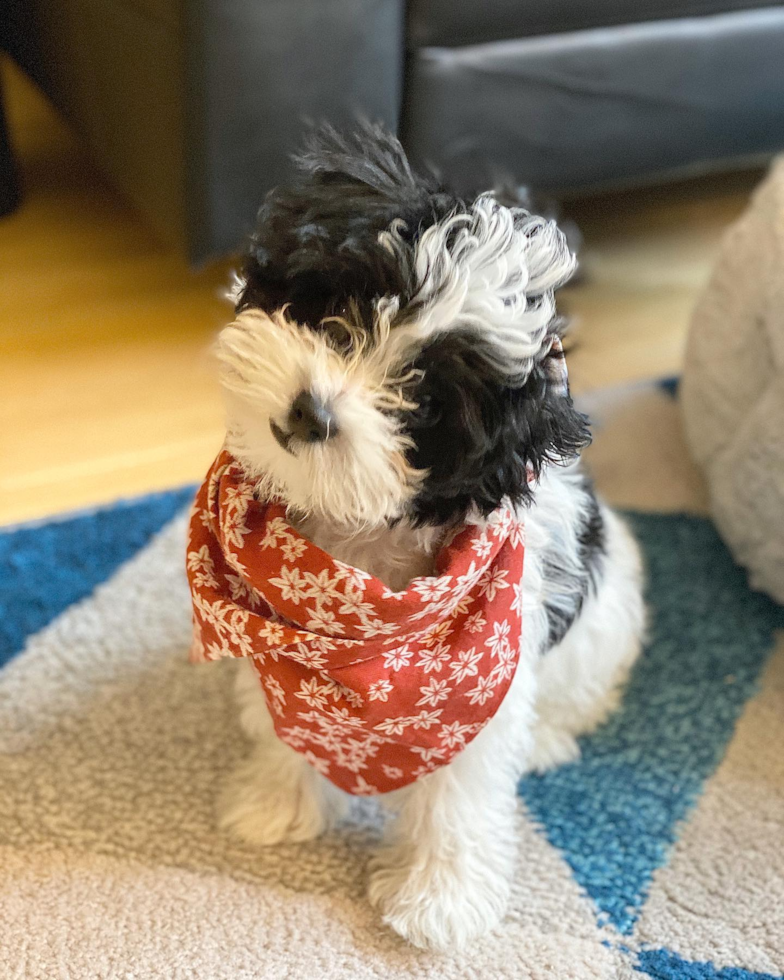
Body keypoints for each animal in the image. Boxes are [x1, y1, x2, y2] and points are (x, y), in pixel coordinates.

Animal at [187, 126, 648, 952]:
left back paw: (551, 739)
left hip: (605, 616)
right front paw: (277, 802)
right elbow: (283, 725)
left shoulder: (478, 686)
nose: (311, 410)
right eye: (348, 305)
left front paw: (441, 900)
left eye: (428, 402)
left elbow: (461, 793)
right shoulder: (283, 655)